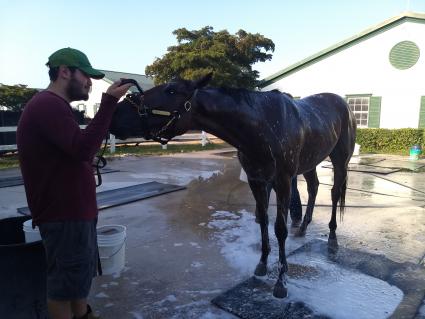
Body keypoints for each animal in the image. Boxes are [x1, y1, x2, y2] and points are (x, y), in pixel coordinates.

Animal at [108, 74, 354, 298]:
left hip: (339, 160)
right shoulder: (257, 181)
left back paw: (332, 239)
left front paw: (281, 282)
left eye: (171, 90)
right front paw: (262, 265)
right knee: (313, 187)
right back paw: (303, 228)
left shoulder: (282, 181)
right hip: (310, 162)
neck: (262, 124)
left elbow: (279, 229)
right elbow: (263, 221)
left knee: (334, 194)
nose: (115, 114)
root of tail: (343, 104)